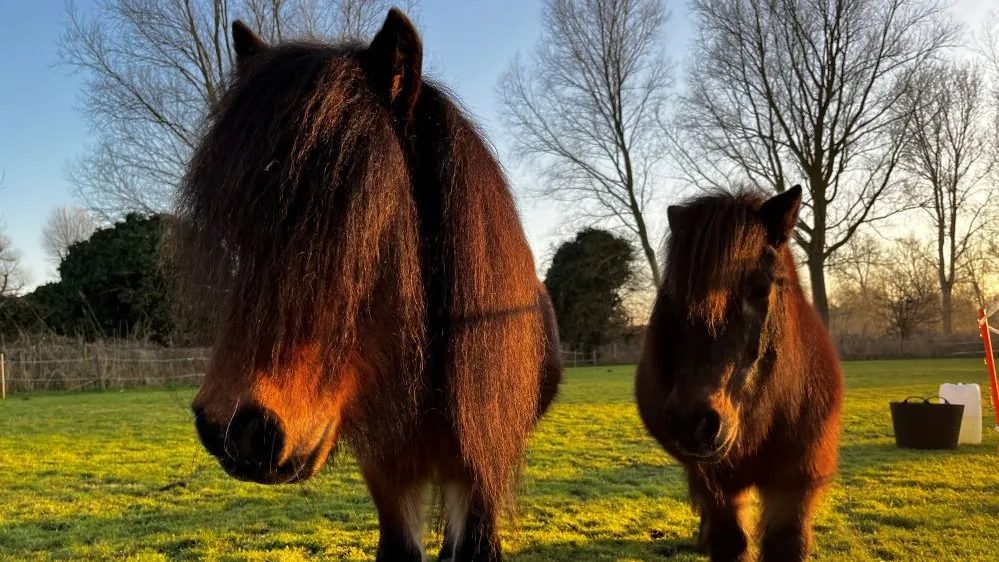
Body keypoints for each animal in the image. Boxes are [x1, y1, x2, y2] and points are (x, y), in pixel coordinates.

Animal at [635, 186, 843, 562]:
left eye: (761, 288)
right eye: (673, 296)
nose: (693, 422)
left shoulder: (794, 486)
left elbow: (785, 544)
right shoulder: (720, 487)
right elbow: (730, 541)